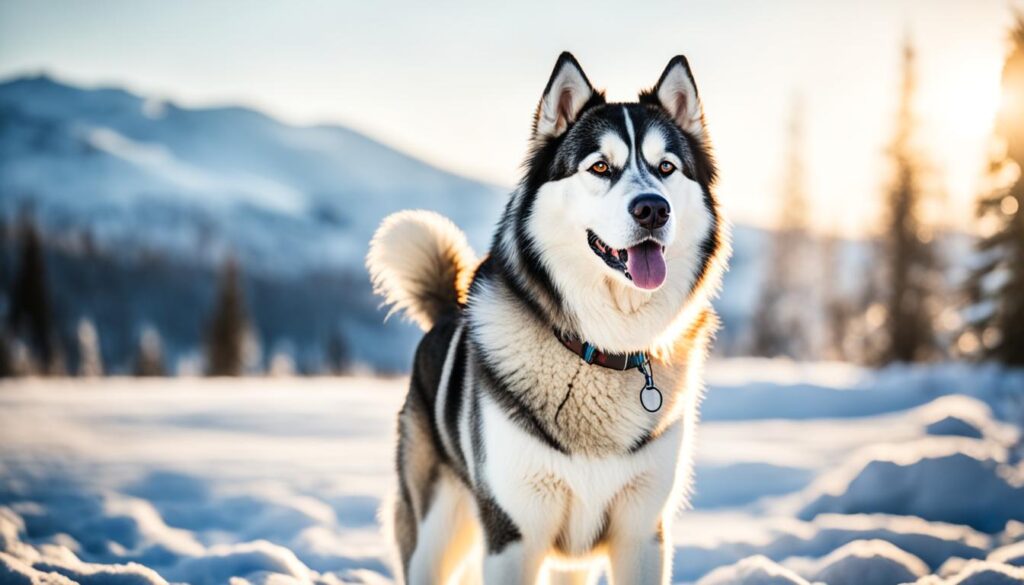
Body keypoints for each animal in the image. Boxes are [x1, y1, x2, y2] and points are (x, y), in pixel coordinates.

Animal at [368, 51, 729, 585]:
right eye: (600, 166)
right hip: (435, 527)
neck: (603, 350)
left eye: (666, 167)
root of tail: (447, 312)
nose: (652, 209)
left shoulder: (642, 532)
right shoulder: (512, 533)